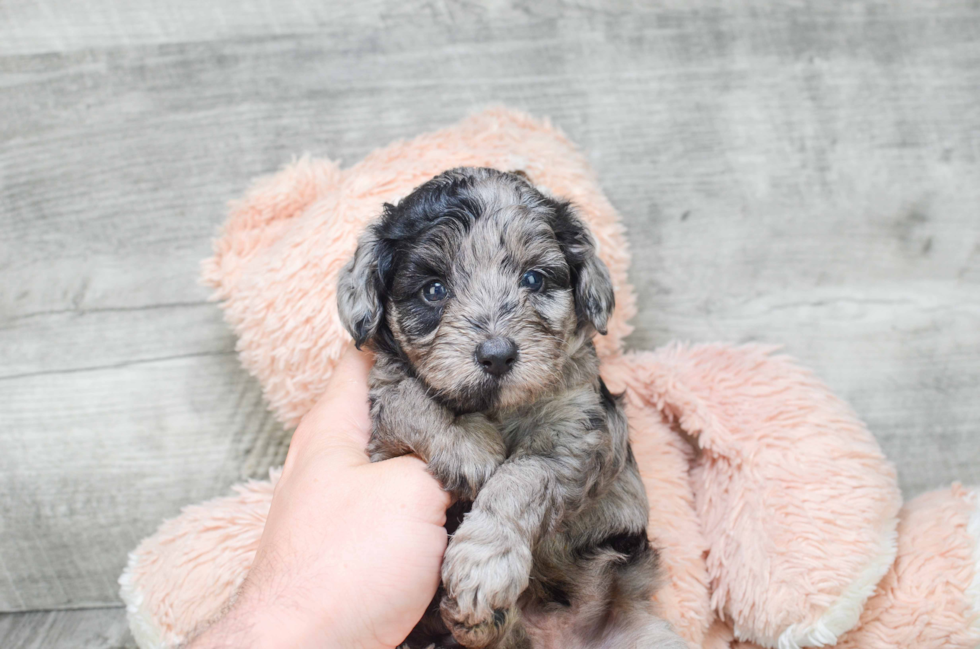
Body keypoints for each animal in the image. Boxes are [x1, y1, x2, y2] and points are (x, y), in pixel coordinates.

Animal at [336, 168, 680, 648]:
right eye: (434, 289)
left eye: (533, 279)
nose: (497, 355)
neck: (499, 409)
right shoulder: (384, 414)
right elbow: (408, 398)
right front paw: (469, 446)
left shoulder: (582, 429)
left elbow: (522, 479)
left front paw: (483, 566)